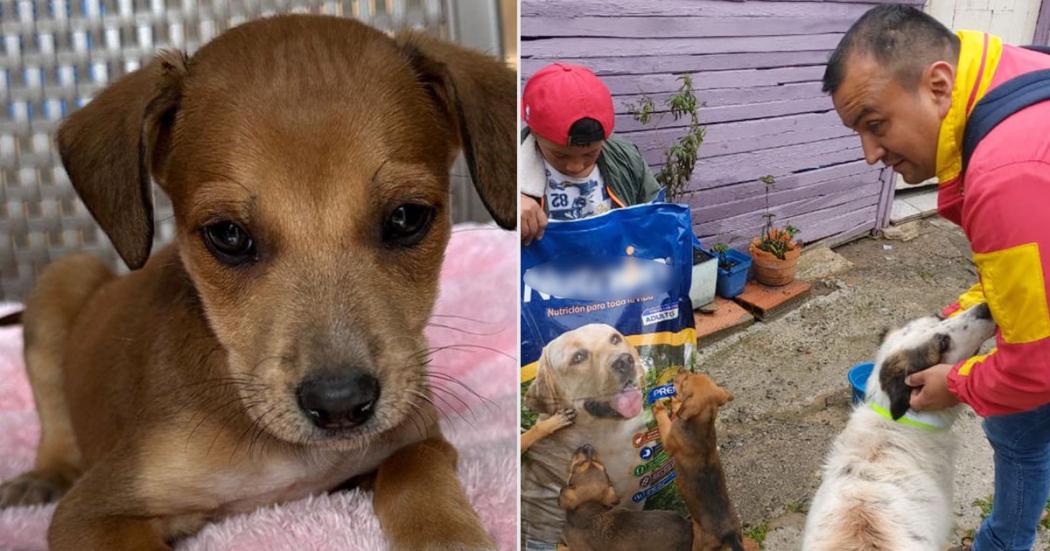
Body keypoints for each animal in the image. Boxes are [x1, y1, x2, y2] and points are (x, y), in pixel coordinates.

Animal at [0, 13, 512, 549]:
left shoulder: (418, 438)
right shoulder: (95, 510)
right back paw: (42, 476)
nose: (340, 404)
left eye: (407, 217)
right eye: (227, 235)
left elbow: (414, 472)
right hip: (63, 279)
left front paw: (448, 534)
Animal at [655, 373, 755, 549]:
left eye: (685, 380)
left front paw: (660, 407)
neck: (703, 424)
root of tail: (729, 534)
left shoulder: (668, 439)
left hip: (699, 544)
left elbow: (664, 421)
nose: (678, 372)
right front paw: (675, 402)